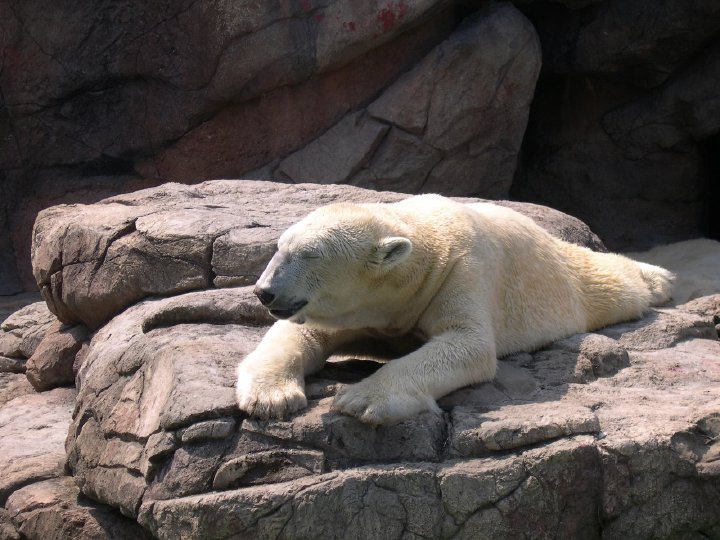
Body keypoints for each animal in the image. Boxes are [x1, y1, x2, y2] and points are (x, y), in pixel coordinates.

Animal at [236, 194, 674, 425]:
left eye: (309, 255)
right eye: (280, 248)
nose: (264, 292)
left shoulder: (462, 270)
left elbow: (469, 344)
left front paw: (360, 399)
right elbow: (302, 332)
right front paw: (271, 397)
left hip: (565, 281)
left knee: (610, 282)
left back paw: (660, 280)